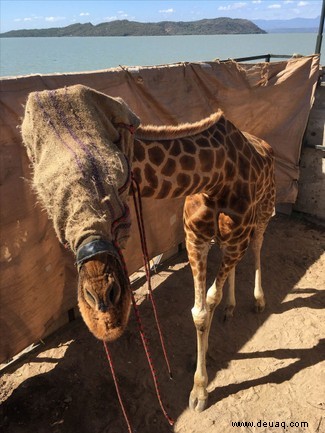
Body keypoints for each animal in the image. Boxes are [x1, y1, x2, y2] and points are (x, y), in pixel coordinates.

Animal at [133, 109, 274, 412]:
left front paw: (200, 389)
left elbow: (210, 299)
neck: (215, 178)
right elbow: (200, 311)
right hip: (228, 239)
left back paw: (258, 300)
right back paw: (230, 308)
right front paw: (200, 376)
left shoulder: (233, 238)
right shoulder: (195, 238)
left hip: (263, 211)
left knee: (257, 247)